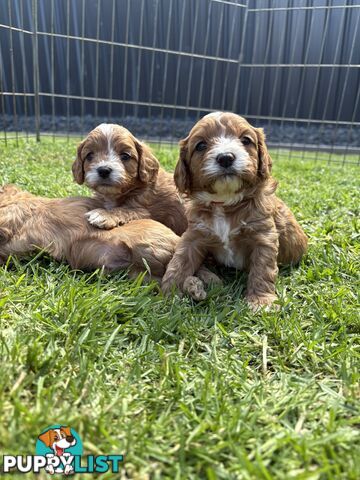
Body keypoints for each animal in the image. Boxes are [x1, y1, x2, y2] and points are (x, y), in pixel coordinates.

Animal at [162, 110, 308, 310]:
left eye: (246, 140)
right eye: (201, 145)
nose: (226, 157)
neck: (224, 202)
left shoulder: (264, 236)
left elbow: (263, 269)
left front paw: (261, 301)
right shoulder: (194, 235)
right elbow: (179, 261)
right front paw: (168, 293)